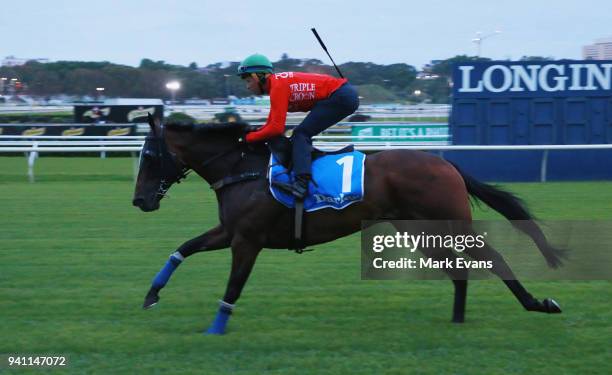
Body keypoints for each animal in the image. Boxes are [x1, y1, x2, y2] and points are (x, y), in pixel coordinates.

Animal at [134, 116, 564, 336]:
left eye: (150, 156)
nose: (140, 201)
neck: (244, 169)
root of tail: (446, 164)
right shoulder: (230, 232)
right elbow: (183, 248)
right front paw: (152, 294)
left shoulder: (248, 240)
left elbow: (233, 286)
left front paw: (215, 329)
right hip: (419, 229)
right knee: (458, 269)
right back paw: (457, 319)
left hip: (450, 223)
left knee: (493, 257)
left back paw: (539, 303)